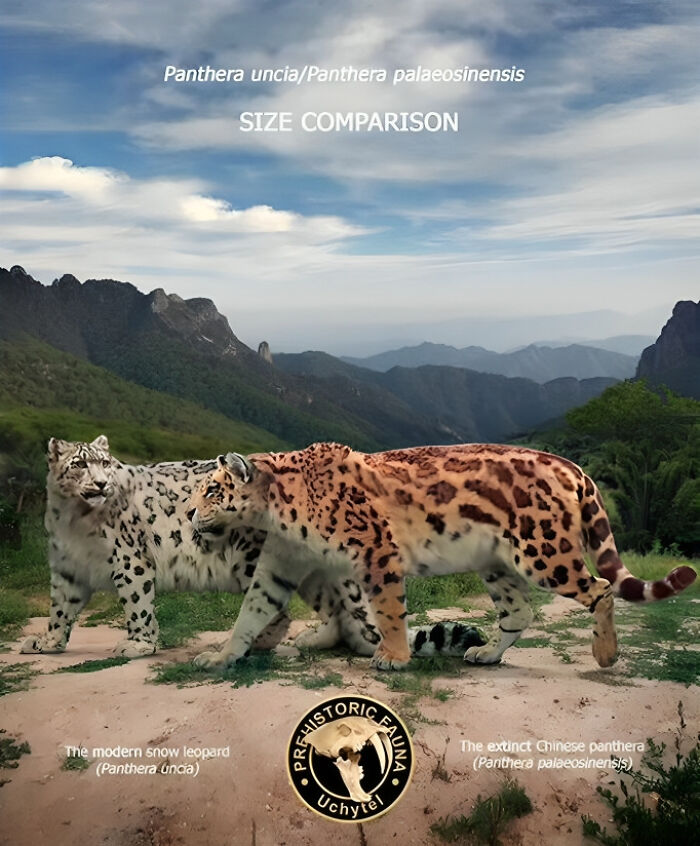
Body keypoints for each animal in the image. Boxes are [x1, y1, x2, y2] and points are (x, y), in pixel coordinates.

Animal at [20, 437, 482, 661]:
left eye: (106, 464)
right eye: (80, 464)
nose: (101, 484)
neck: (75, 521)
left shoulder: (129, 559)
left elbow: (136, 604)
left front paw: (137, 644)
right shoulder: (66, 567)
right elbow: (60, 610)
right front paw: (47, 643)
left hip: (251, 556)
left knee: (280, 609)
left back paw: (264, 642)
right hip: (310, 567)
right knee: (334, 605)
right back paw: (313, 640)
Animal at [186, 442, 696, 671]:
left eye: (212, 490)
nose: (190, 511)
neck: (280, 517)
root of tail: (572, 466)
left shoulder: (377, 553)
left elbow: (388, 610)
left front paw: (393, 657)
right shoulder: (279, 566)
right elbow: (250, 613)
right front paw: (220, 656)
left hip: (543, 553)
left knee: (601, 588)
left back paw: (605, 653)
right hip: (497, 566)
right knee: (520, 611)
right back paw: (486, 653)